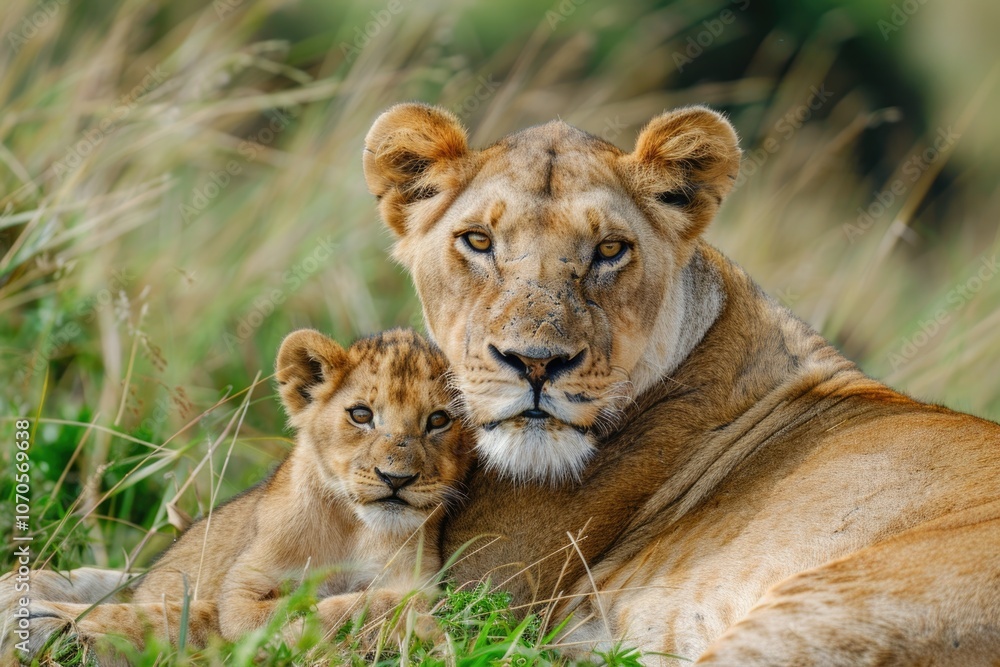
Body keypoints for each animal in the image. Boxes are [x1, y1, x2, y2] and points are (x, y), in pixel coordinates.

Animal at [4, 328, 473, 662]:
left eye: (438, 420)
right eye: (361, 415)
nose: (395, 478)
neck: (352, 528)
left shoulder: (413, 574)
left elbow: (379, 600)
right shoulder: (242, 595)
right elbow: (308, 607)